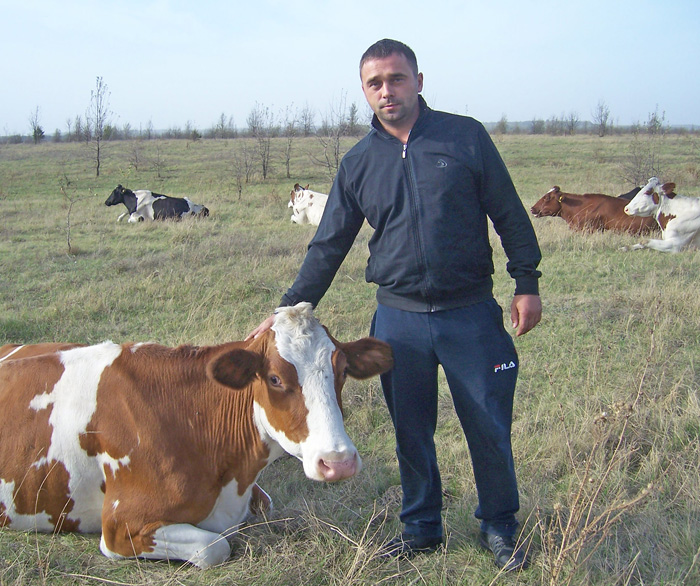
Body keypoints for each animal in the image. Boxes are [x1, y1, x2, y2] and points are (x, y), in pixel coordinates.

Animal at [0, 304, 394, 568]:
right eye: (275, 378)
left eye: (342, 370)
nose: (338, 462)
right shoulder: (120, 526)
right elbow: (214, 547)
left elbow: (264, 505)